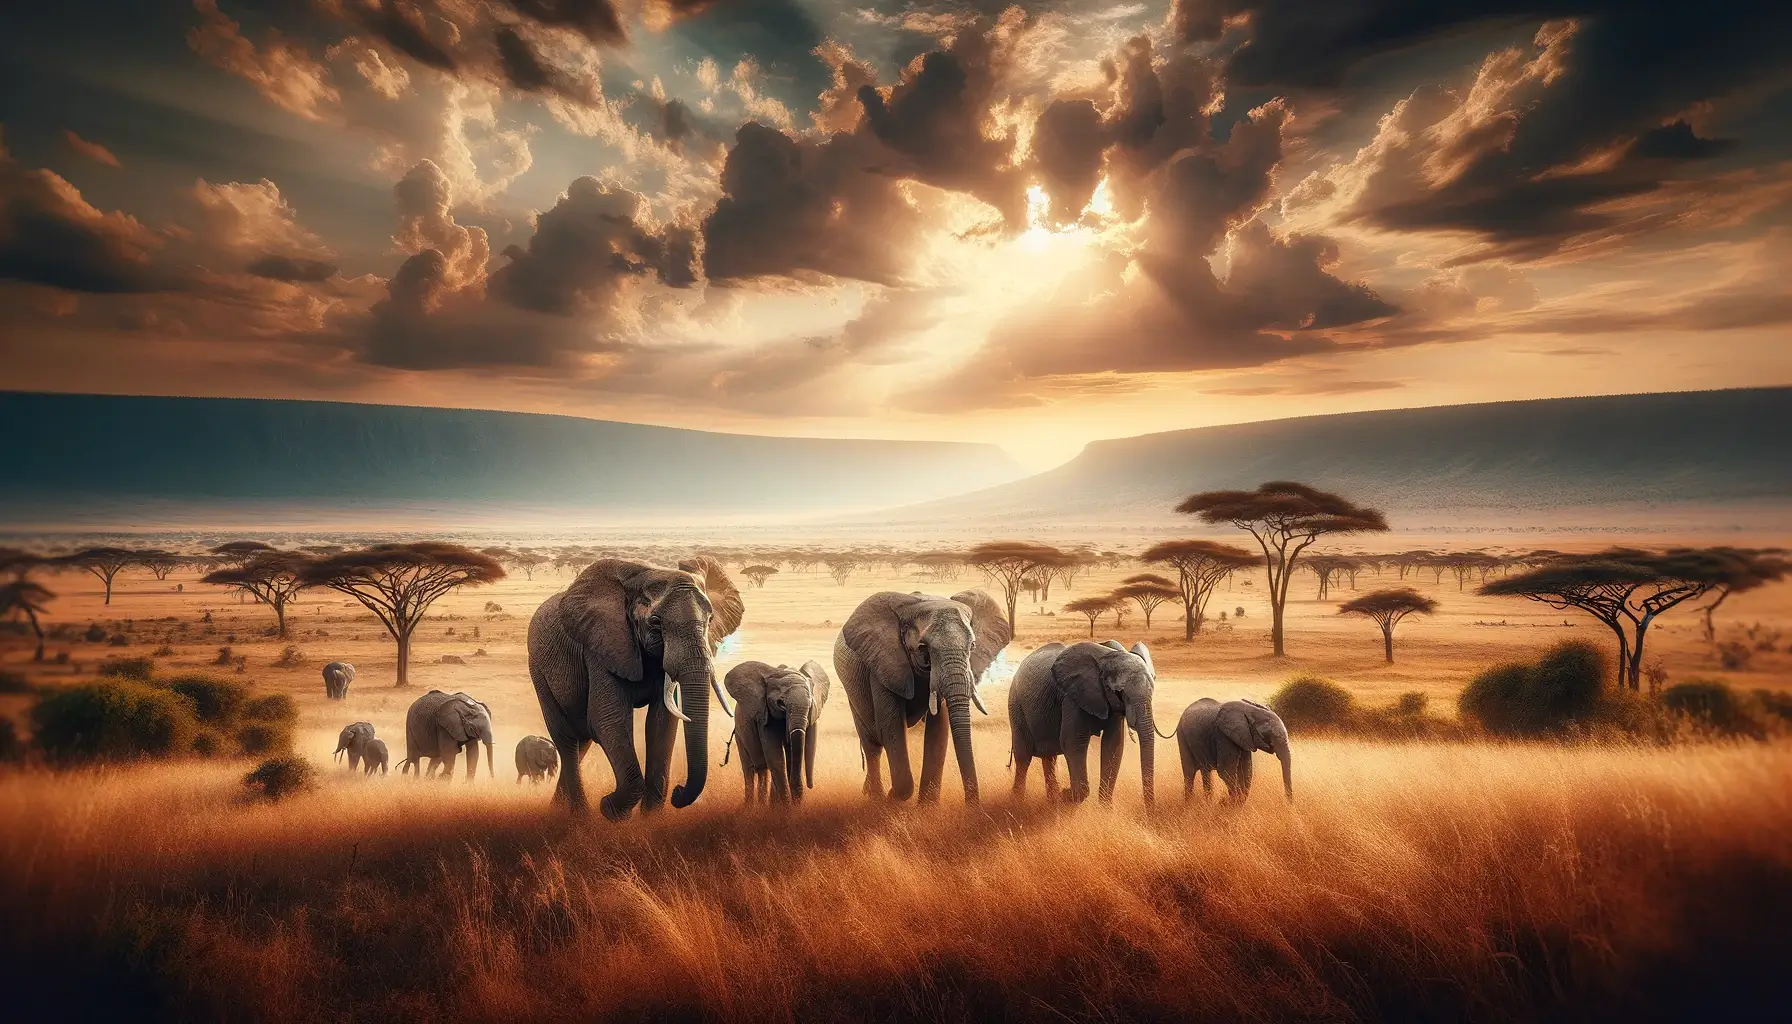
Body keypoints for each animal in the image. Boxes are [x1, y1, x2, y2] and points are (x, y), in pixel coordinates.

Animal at [523, 555, 741, 821]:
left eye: (710, 620)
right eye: (656, 623)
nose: (678, 792)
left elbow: (662, 721)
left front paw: (649, 820)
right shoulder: (601, 647)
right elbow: (608, 719)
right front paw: (609, 809)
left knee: (580, 741)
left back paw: (557, 808)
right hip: (538, 670)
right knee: (567, 738)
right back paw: (580, 816)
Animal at [720, 659, 831, 807]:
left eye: (810, 705)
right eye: (781, 703)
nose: (810, 786)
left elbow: (788, 755)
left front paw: (783, 808)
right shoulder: (765, 715)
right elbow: (776, 757)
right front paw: (786, 809)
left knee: (763, 769)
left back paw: (764, 806)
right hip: (739, 732)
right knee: (750, 769)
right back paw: (751, 808)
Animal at [835, 588, 1010, 807]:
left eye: (972, 646)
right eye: (923, 648)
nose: (972, 807)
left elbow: (939, 729)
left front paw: (927, 809)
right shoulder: (883, 665)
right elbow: (891, 727)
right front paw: (893, 799)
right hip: (853, 690)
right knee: (872, 745)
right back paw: (875, 800)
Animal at [1003, 642, 1168, 810]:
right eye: (1119, 693)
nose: (1150, 813)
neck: (1108, 656)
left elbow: (1113, 744)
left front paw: (1105, 810)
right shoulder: (1071, 699)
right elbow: (1074, 743)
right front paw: (1068, 795)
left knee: (1049, 757)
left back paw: (1052, 801)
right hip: (1015, 704)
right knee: (1023, 756)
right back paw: (1018, 802)